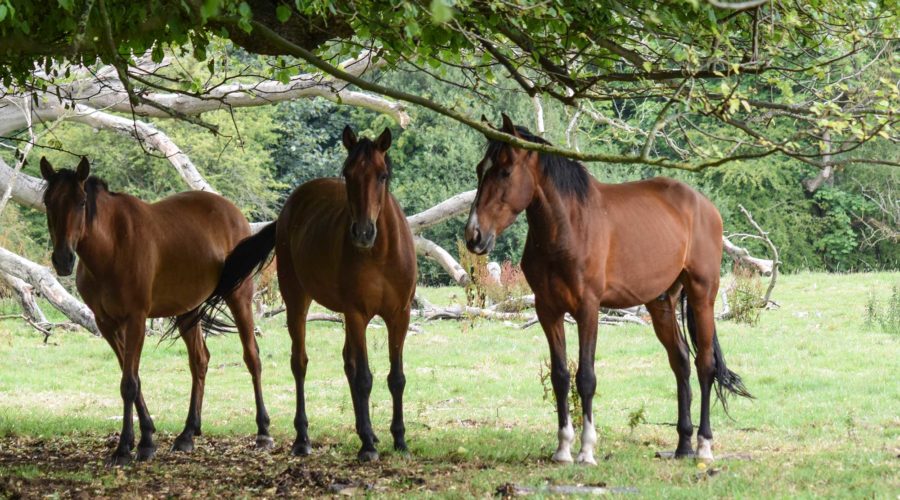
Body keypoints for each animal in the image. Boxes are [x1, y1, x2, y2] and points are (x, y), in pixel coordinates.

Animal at [39, 155, 270, 464]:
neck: (111, 246)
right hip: (188, 311)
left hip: (239, 298)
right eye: (48, 201)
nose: (63, 259)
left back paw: (263, 431)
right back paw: (188, 433)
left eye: (81, 201)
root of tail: (232, 212)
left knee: (252, 357)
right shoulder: (106, 323)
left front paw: (125, 448)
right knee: (200, 360)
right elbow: (132, 378)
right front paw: (146, 438)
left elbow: (128, 383)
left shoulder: (135, 319)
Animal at [195, 127, 416, 462]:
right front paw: (368, 446)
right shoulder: (357, 314)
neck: (381, 253)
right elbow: (365, 378)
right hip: (297, 300)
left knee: (348, 364)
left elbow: (396, 378)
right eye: (347, 173)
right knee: (300, 363)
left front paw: (399, 440)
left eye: (382, 175)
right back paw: (303, 438)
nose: (363, 232)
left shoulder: (398, 316)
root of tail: (290, 208)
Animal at [464, 115, 752, 462]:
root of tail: (703, 206)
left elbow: (586, 377)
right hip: (661, 302)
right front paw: (563, 449)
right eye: (480, 169)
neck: (568, 227)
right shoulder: (548, 310)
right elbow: (561, 376)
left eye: (505, 171)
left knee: (704, 365)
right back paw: (682, 445)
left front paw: (587, 451)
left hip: (701, 295)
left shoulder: (588, 308)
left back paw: (703, 445)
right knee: (681, 361)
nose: (474, 236)